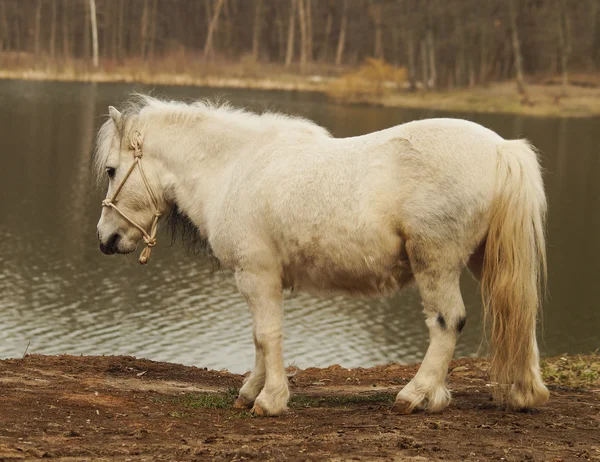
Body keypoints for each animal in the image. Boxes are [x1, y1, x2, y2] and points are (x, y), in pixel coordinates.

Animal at [96, 94, 552, 416]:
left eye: (112, 170)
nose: (105, 239)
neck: (234, 167)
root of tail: (501, 149)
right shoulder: (258, 280)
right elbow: (259, 338)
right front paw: (250, 391)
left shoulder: (257, 275)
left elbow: (267, 335)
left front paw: (270, 399)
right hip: (485, 261)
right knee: (521, 314)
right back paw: (522, 393)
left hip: (436, 264)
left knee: (447, 323)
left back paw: (416, 395)